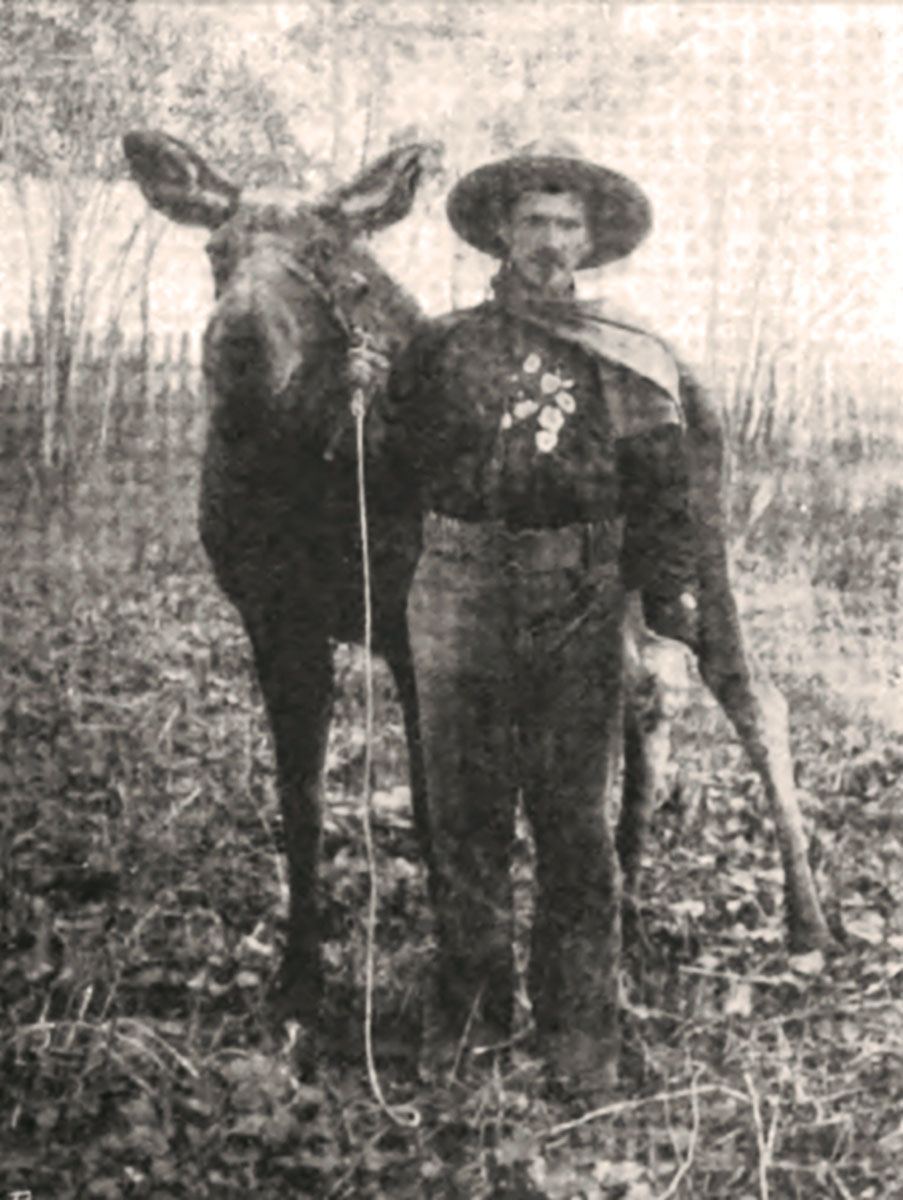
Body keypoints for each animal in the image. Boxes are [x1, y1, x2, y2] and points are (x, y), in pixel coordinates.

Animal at [121, 129, 830, 1032]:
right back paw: (628, 903)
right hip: (625, 595)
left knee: (753, 698)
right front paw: (298, 979)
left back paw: (805, 926)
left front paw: (467, 988)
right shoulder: (276, 619)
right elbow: (301, 801)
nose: (238, 349)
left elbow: (436, 808)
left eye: (330, 258)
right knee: (644, 699)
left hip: (702, 553)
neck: (305, 476)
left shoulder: (410, 626)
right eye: (216, 251)